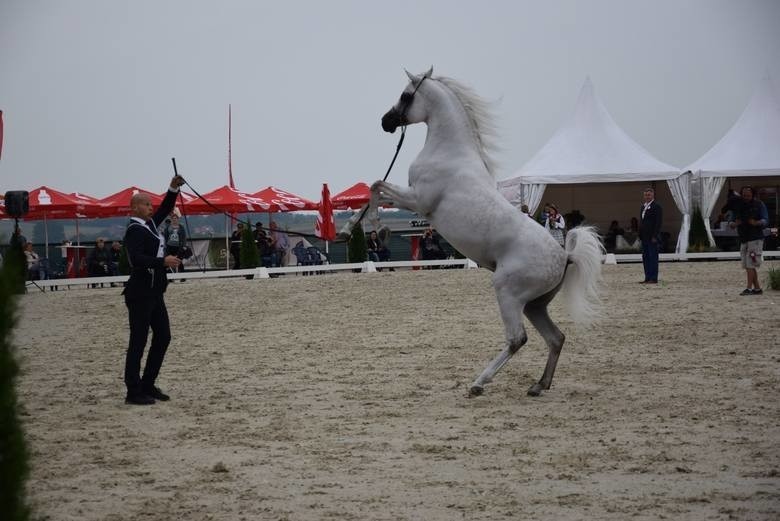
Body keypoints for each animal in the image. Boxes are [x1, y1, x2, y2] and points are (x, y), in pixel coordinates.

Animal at [372, 67, 604, 396]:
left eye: (406, 95)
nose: (386, 121)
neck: (449, 152)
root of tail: (565, 257)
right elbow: (375, 188)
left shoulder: (418, 200)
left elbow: (376, 187)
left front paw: (368, 229)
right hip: (534, 306)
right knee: (556, 337)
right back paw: (538, 385)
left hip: (508, 293)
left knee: (518, 339)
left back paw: (479, 383)